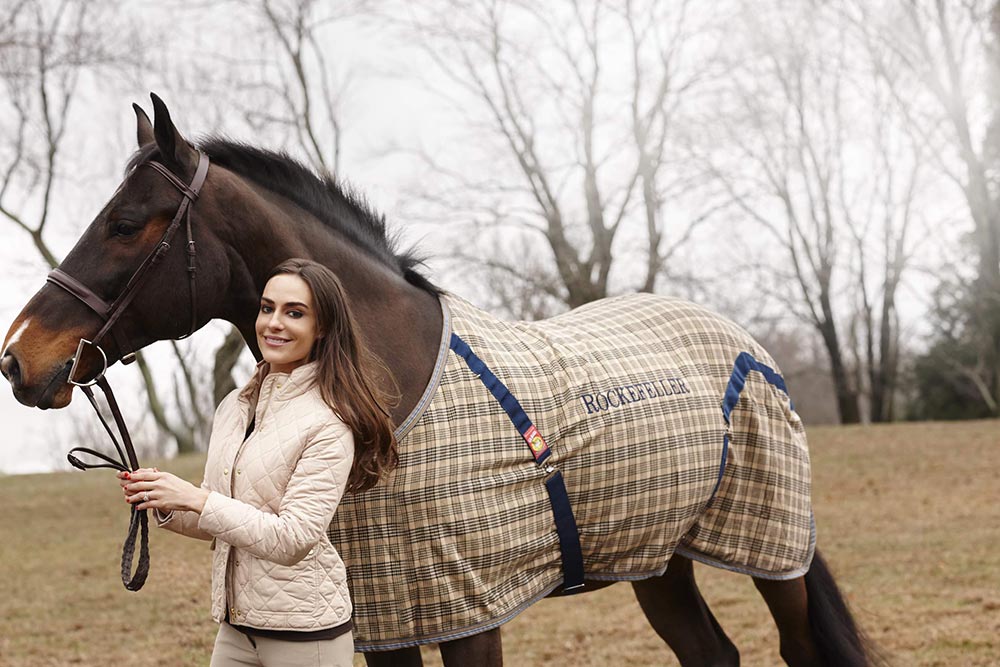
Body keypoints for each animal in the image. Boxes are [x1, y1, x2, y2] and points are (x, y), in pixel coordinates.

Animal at [0, 95, 876, 667]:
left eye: (124, 223)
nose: (17, 357)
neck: (390, 388)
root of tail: (745, 344)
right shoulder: (389, 617)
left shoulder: (468, 611)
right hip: (658, 554)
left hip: (771, 548)